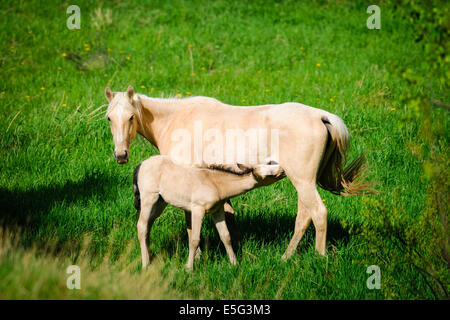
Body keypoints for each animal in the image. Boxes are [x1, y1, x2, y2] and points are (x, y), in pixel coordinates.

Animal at [132, 155, 284, 270]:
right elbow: (194, 239)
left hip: (160, 202)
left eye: (269, 164)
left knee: (148, 226)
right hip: (149, 198)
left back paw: (149, 258)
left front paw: (234, 264)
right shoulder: (197, 209)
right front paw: (189, 268)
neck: (215, 183)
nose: (283, 169)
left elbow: (225, 236)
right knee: (141, 226)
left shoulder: (217, 211)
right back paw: (145, 264)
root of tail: (141, 165)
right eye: (269, 174)